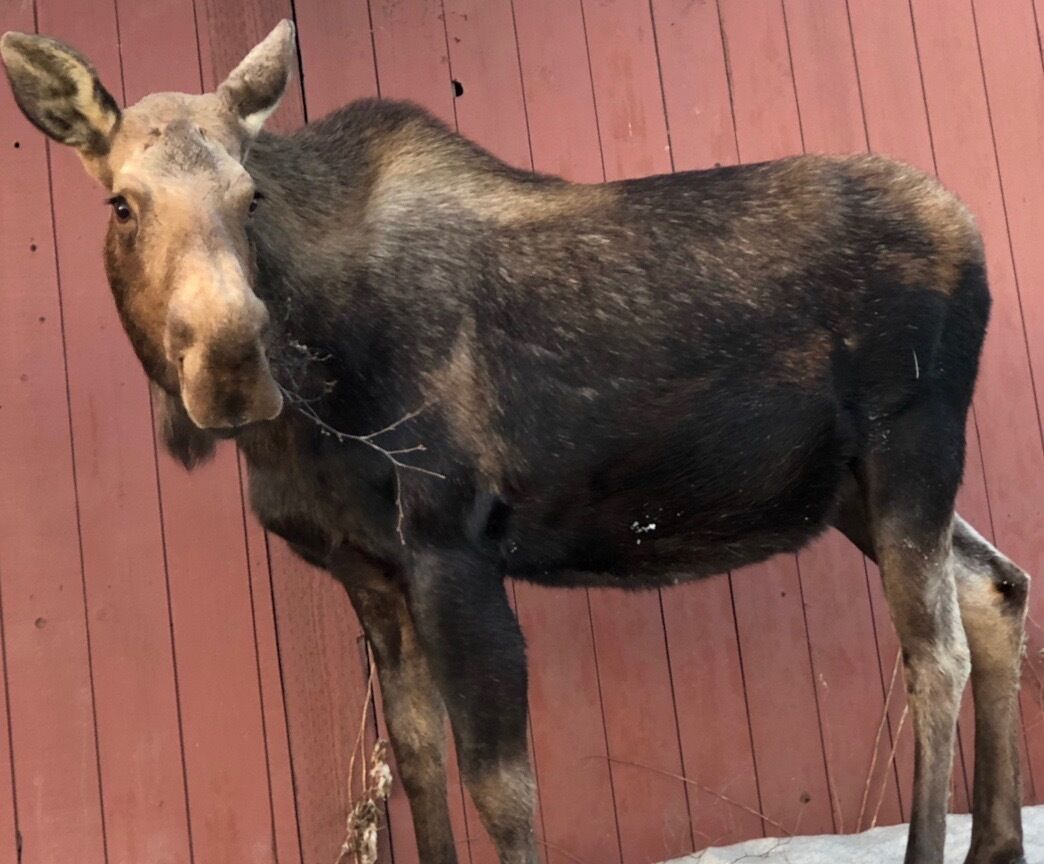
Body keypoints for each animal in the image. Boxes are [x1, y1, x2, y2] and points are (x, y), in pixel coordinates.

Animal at [0, 20, 1031, 864]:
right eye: (122, 203)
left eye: (249, 195)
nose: (230, 364)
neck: (306, 410)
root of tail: (973, 233)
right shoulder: (369, 571)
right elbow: (419, 764)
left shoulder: (453, 546)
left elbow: (503, 790)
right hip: (856, 484)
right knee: (997, 588)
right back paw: (997, 844)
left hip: (912, 449)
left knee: (935, 650)